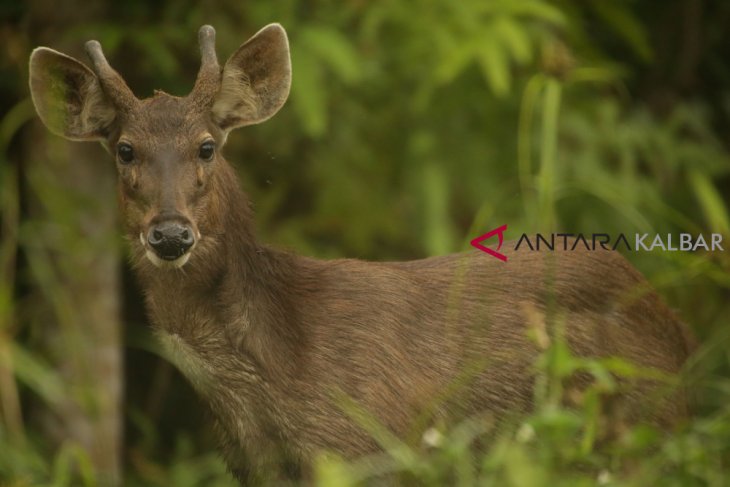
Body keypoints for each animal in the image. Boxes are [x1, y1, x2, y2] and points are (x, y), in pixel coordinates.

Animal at [27, 23, 688, 487]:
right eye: (125, 150)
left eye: (207, 146)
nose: (169, 235)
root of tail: (675, 326)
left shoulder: (367, 448)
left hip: (640, 426)